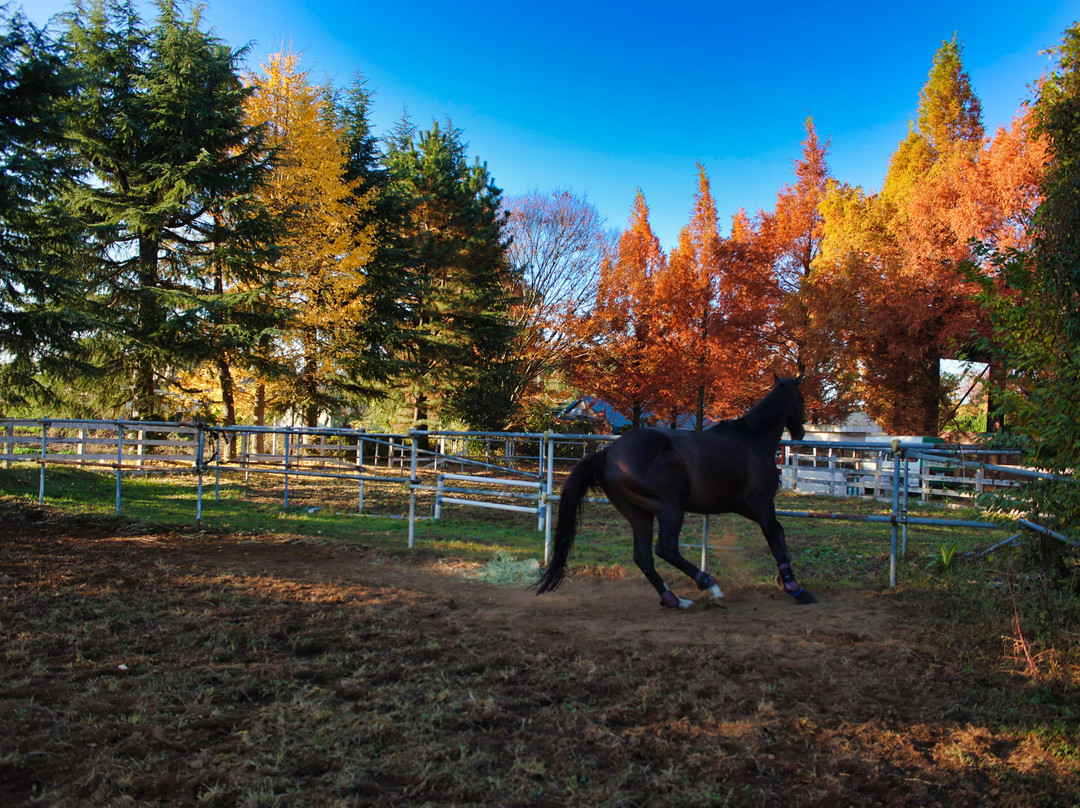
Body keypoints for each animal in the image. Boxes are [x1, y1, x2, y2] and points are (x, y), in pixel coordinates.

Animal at [535, 378, 812, 604]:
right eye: (801, 399)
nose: (801, 432)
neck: (753, 438)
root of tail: (608, 454)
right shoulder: (760, 501)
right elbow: (773, 535)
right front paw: (794, 587)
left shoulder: (745, 506)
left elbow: (778, 531)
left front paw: (785, 574)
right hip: (671, 508)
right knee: (665, 548)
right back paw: (709, 585)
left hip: (639, 514)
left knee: (644, 557)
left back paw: (674, 599)